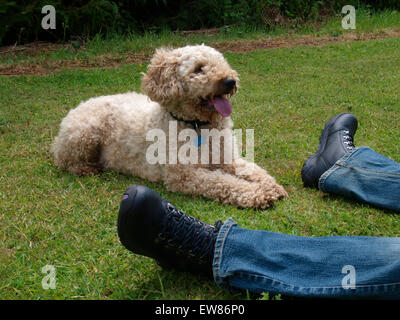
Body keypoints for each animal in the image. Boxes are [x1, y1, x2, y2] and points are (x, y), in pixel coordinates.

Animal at [51, 45, 286, 210]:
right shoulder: (183, 175)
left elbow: (252, 169)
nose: (230, 81)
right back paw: (86, 168)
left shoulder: (227, 159)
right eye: (198, 69)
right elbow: (223, 182)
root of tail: (76, 107)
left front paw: (270, 185)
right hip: (85, 134)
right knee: (65, 161)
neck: (196, 124)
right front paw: (257, 194)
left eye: (222, 62)